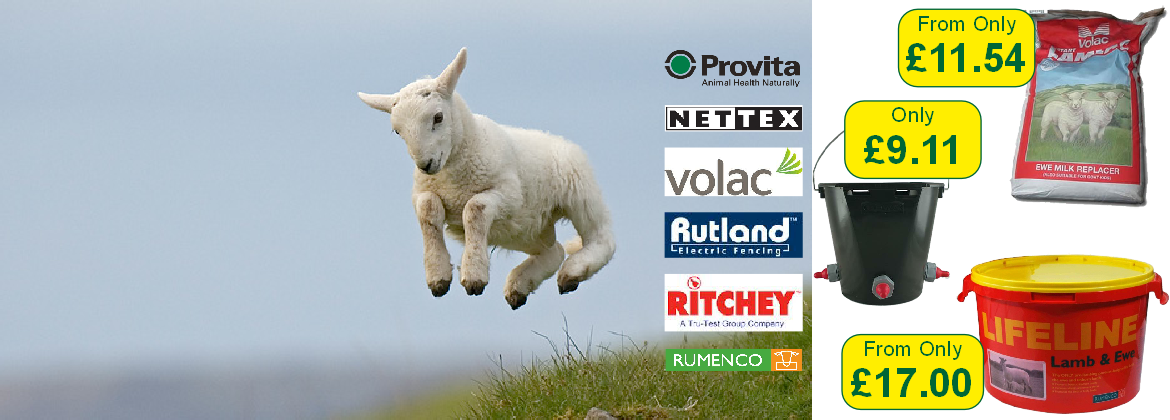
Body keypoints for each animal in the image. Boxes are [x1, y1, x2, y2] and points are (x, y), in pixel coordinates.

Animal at [357, 48, 616, 309]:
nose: (425, 165)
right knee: (554, 251)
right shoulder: (422, 192)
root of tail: (557, 139)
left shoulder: (509, 194)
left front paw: (473, 277)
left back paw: (572, 272)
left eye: (438, 117)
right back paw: (520, 286)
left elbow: (475, 210)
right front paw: (438, 278)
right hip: (523, 230)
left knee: (602, 239)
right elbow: (428, 210)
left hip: (579, 191)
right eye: (397, 130)